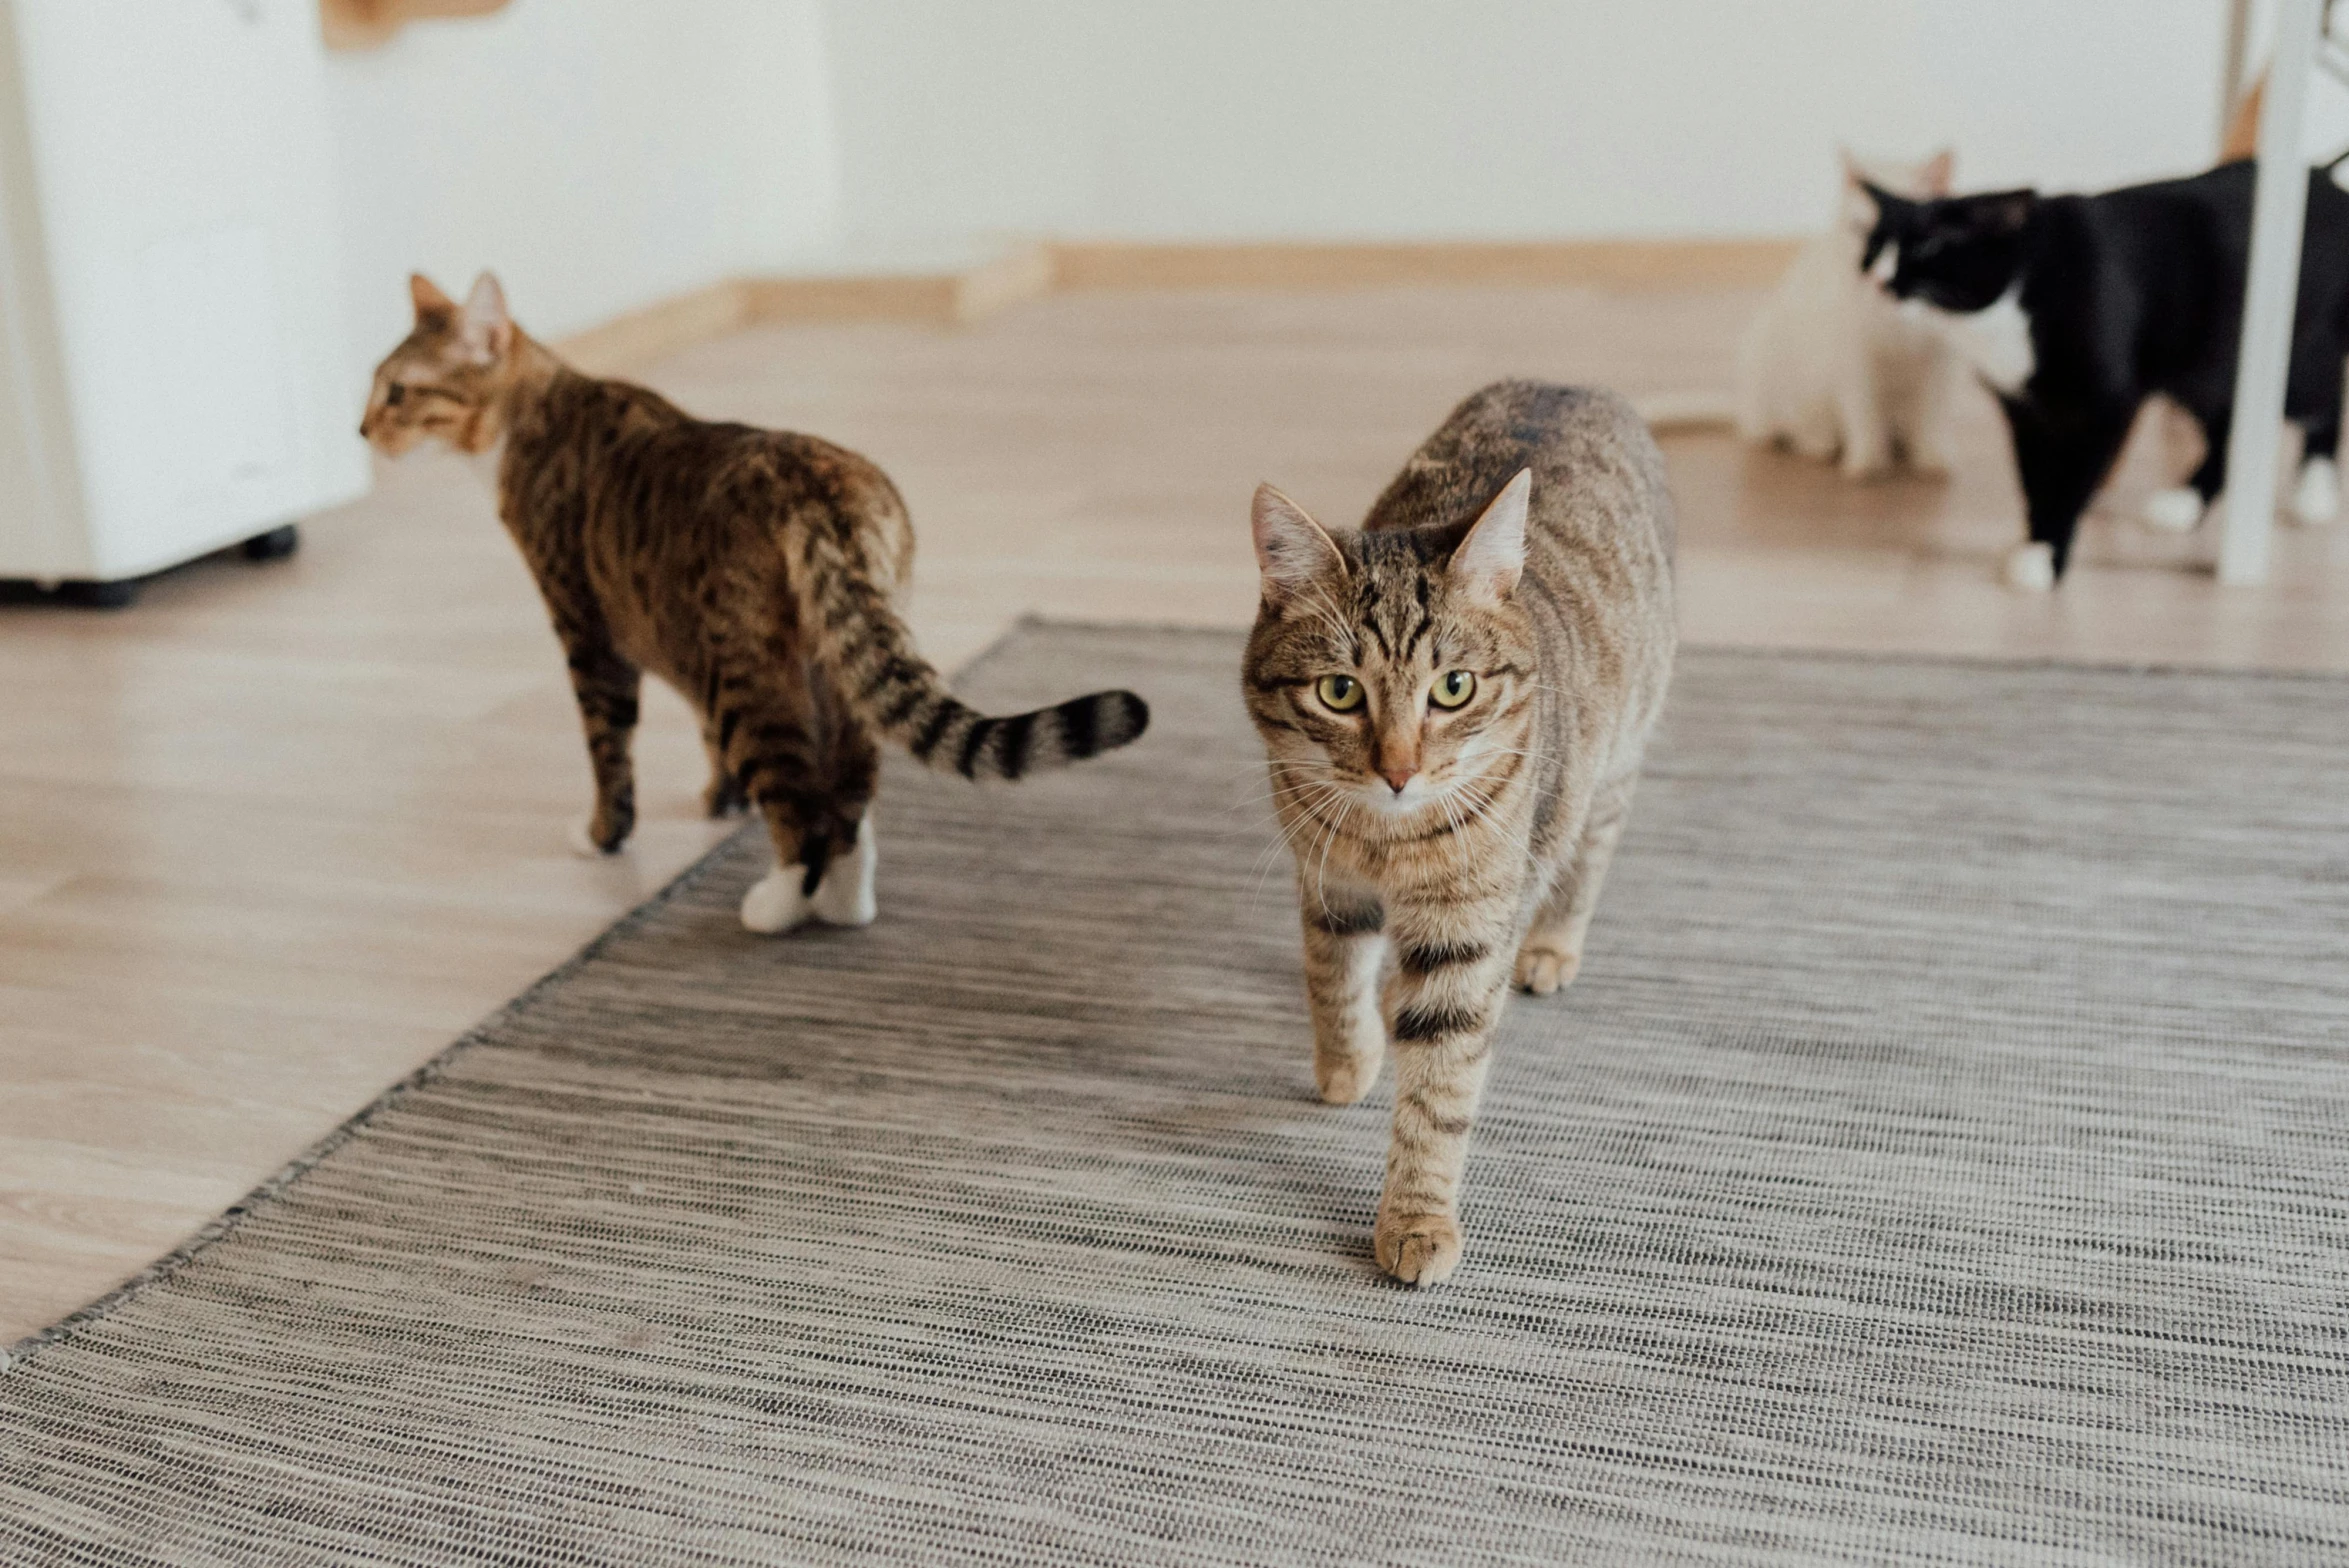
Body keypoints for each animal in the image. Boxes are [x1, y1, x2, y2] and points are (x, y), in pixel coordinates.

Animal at [354, 272, 1146, 929]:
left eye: (396, 392)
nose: (360, 429)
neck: (538, 408)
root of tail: (816, 488)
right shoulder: (673, 633)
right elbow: (705, 742)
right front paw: (718, 799)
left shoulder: (587, 628)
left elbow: (608, 750)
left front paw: (604, 834)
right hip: (835, 662)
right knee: (848, 798)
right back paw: (844, 903)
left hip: (743, 667)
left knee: (801, 810)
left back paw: (775, 906)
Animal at [1249, 382, 1672, 1286]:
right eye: (1339, 692)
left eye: (1453, 687)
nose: (1398, 770)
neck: (1384, 841)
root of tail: (1575, 383)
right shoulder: (1324, 876)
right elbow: (1330, 979)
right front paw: (1346, 1063)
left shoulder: (1468, 924)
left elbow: (1440, 1088)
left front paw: (1415, 1220)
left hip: (1611, 765)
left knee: (1585, 859)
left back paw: (1550, 947)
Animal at [1747, 150, 1963, 478]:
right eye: (1860, 229)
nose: (1875, 273)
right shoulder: (1852, 358)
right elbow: (1863, 413)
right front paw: (1868, 462)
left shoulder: (1941, 359)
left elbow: (1931, 417)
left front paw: (1930, 457)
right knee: (1791, 429)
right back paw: (1820, 443)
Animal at [1851, 160, 2349, 586]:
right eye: (1873, 247)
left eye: (1928, 246)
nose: (1877, 280)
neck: (2018, 296)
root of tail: (2324, 177)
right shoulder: (2025, 410)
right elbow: (2035, 479)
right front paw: (2034, 540)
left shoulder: (2104, 405)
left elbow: (2071, 478)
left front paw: (2046, 556)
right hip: (2199, 371)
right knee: (2228, 428)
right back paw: (2183, 504)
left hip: (2282, 354)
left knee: (2321, 403)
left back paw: (2314, 494)